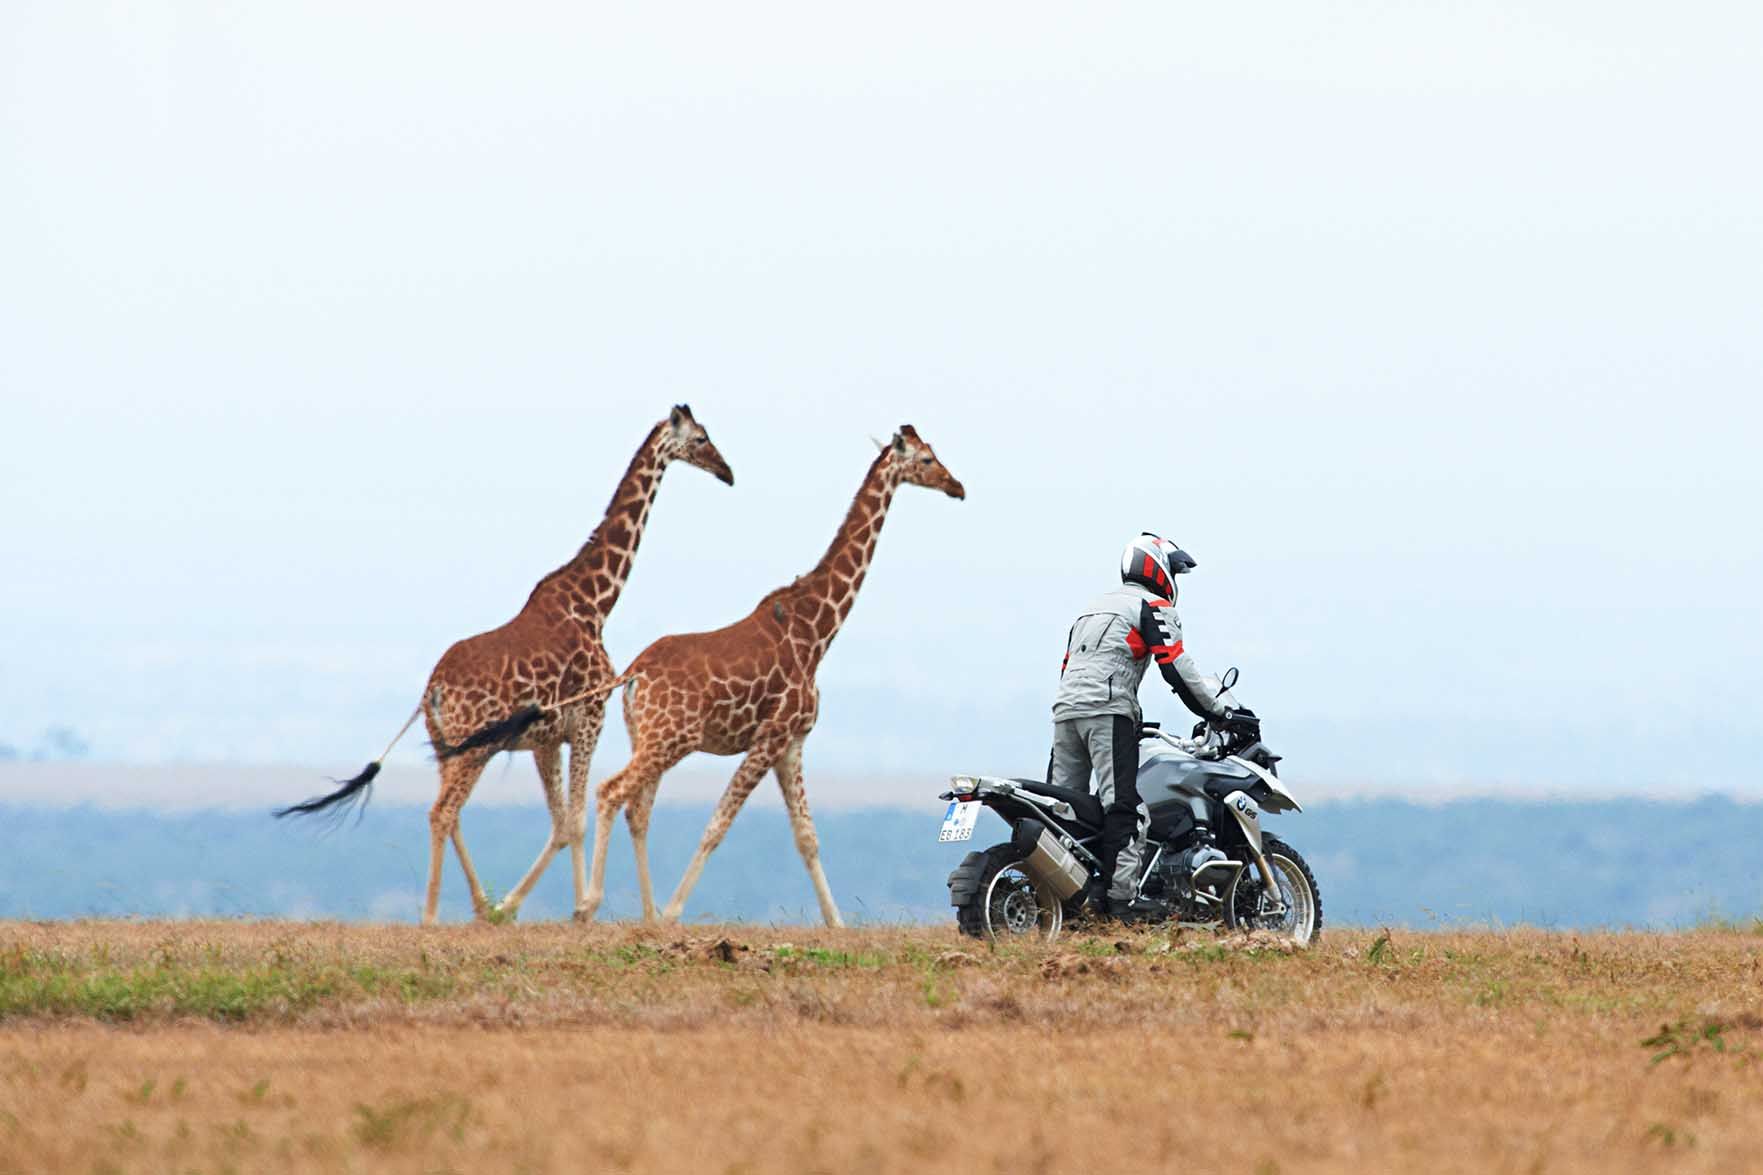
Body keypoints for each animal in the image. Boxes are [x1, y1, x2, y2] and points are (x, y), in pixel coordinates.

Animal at [278, 405, 733, 924]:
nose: (728, 473)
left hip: (451, 746)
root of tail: (432, 690)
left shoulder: (546, 739)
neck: (594, 602)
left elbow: (561, 823)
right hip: (473, 746)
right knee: (442, 812)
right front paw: (580, 910)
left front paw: (513, 908)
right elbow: (575, 819)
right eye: (700, 439)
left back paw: (479, 905)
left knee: (451, 813)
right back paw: (431, 916)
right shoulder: (590, 719)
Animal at [578, 423, 966, 924]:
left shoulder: (793, 742)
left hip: (647, 737)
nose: (956, 487)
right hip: (670, 739)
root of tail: (633, 676)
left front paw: (837, 924)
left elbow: (807, 837)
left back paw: (641, 913)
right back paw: (590, 905)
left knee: (637, 808)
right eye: (925, 461)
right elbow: (717, 825)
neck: (817, 630)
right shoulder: (770, 736)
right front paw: (673, 914)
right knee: (612, 791)